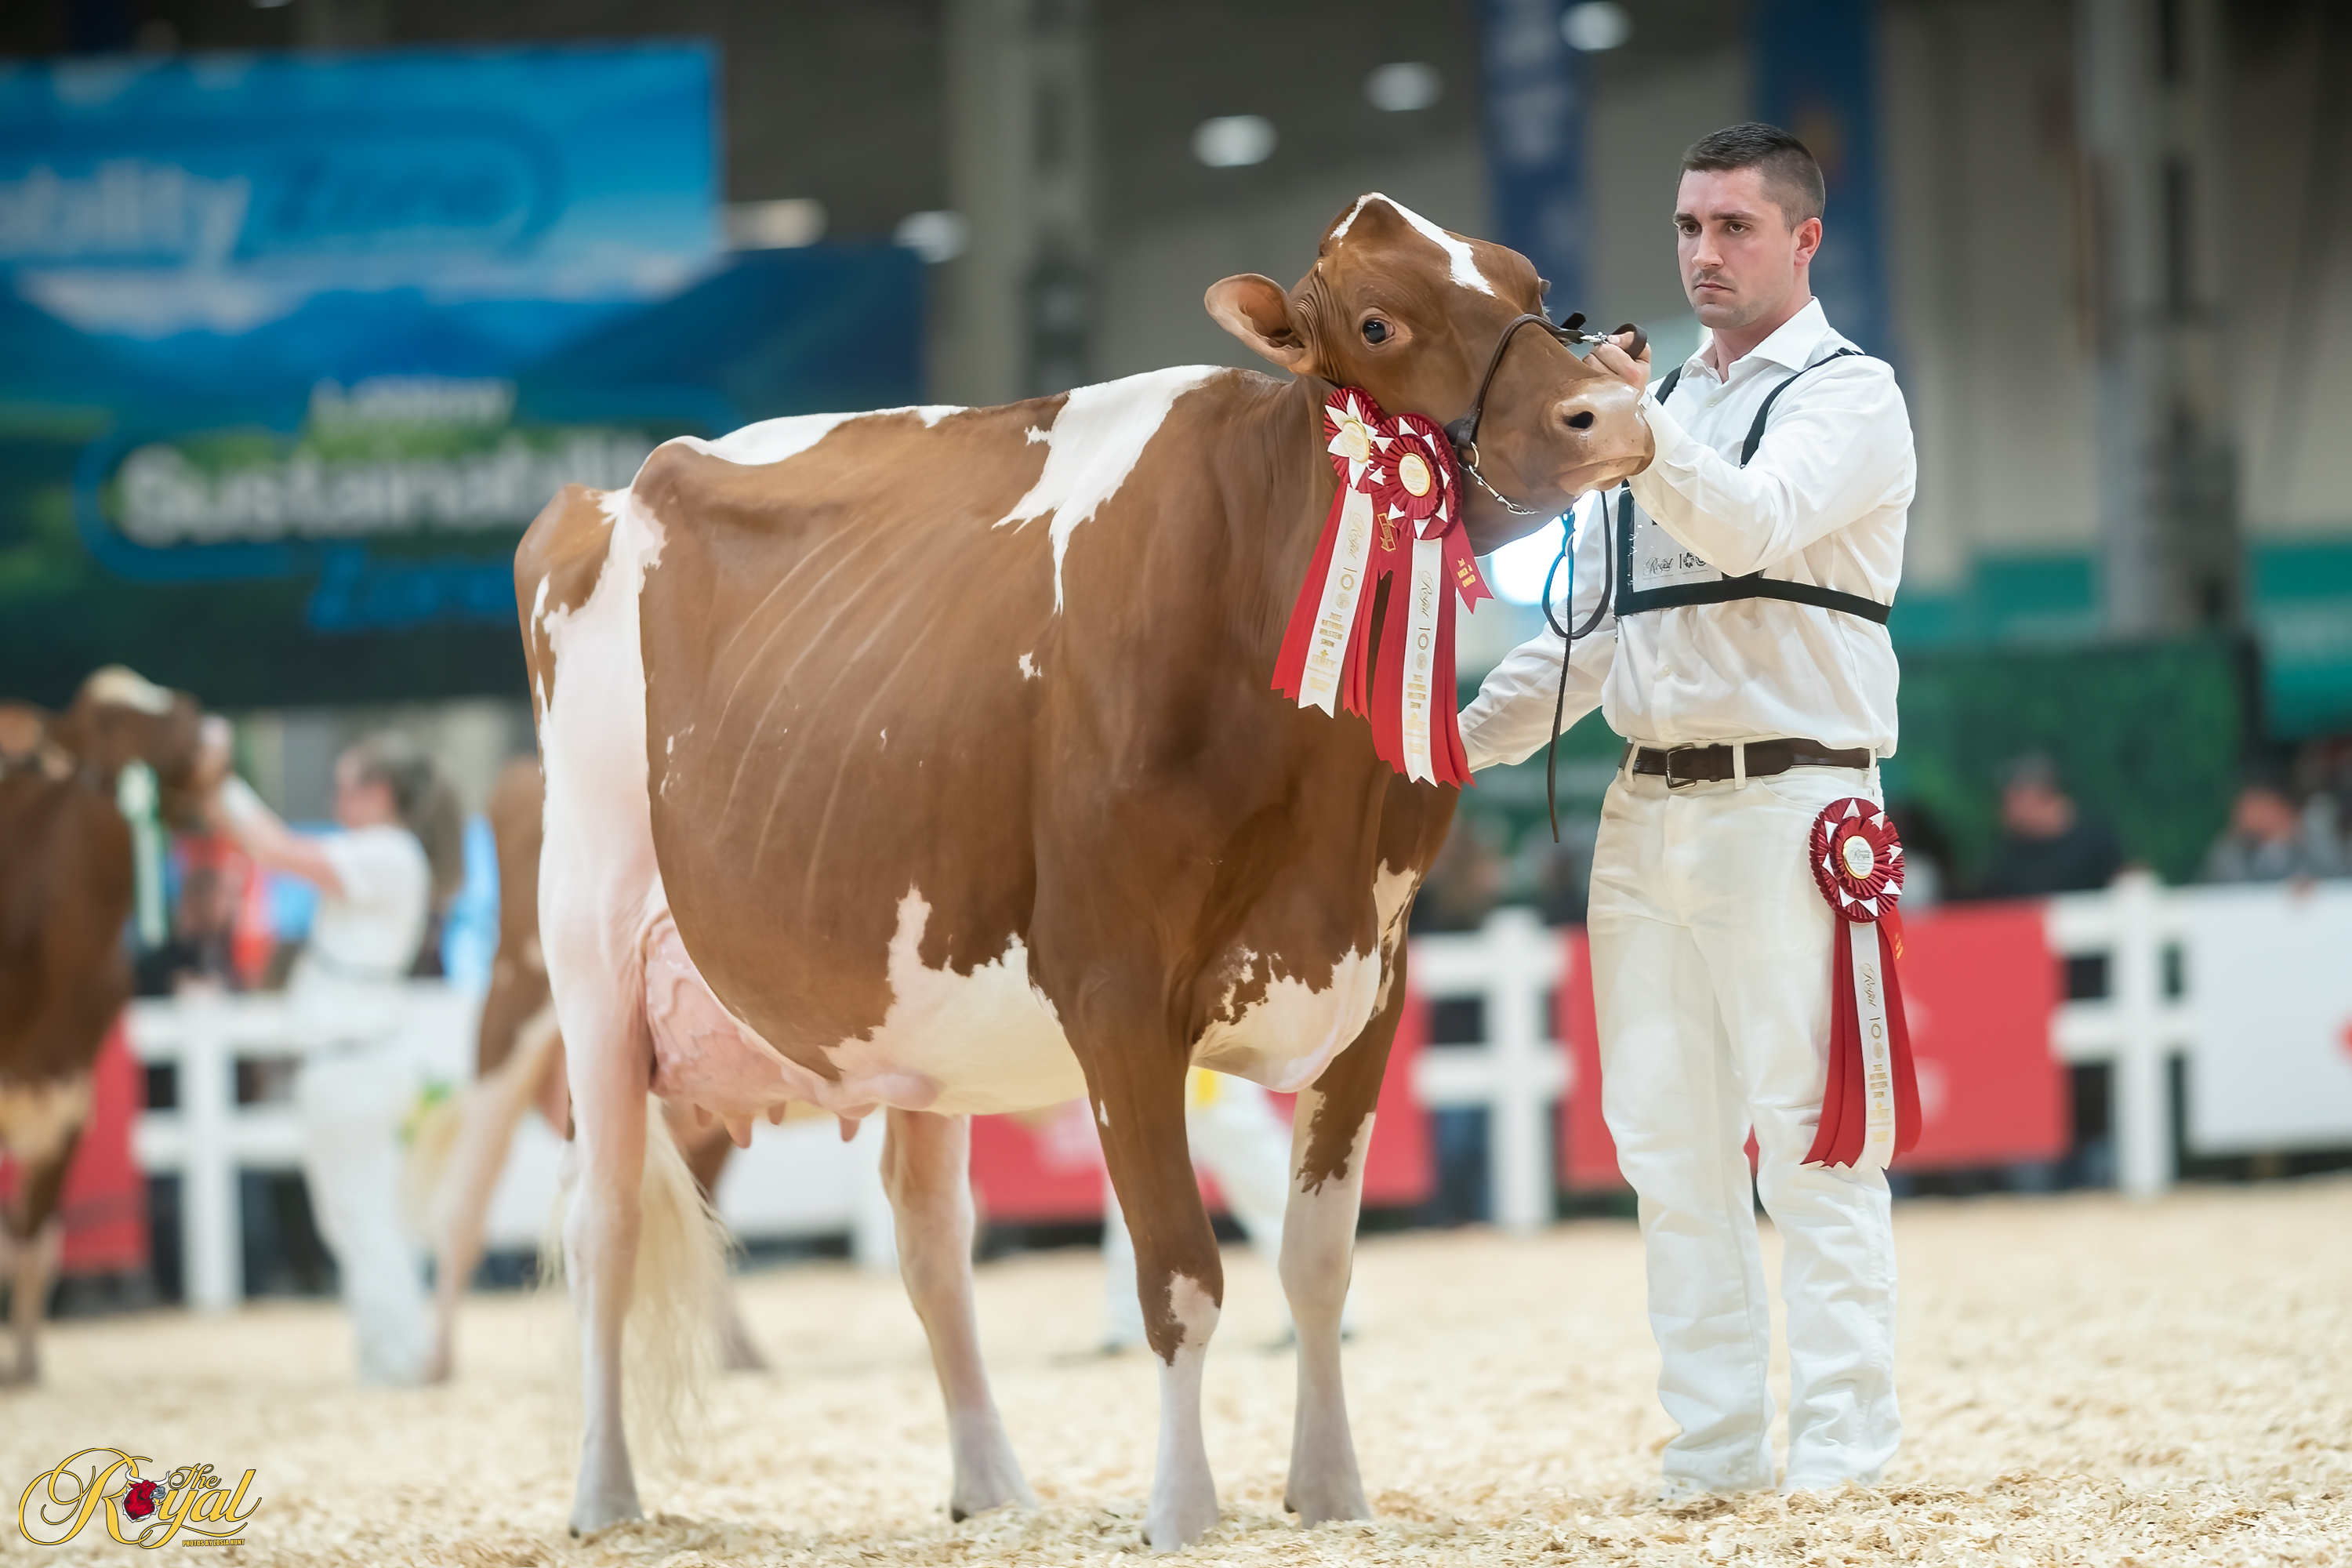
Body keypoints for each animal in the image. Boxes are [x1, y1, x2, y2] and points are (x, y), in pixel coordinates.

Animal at [517, 194, 1651, 1547]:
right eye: (1379, 323)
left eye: (1529, 283)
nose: (1614, 409)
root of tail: (602, 492)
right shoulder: (1115, 988)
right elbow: (1181, 1277)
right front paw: (1183, 1511)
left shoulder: (1372, 978)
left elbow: (1316, 1263)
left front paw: (1330, 1494)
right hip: (590, 946)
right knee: (603, 1222)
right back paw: (603, 1497)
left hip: (907, 1005)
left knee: (931, 1236)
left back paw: (990, 1487)